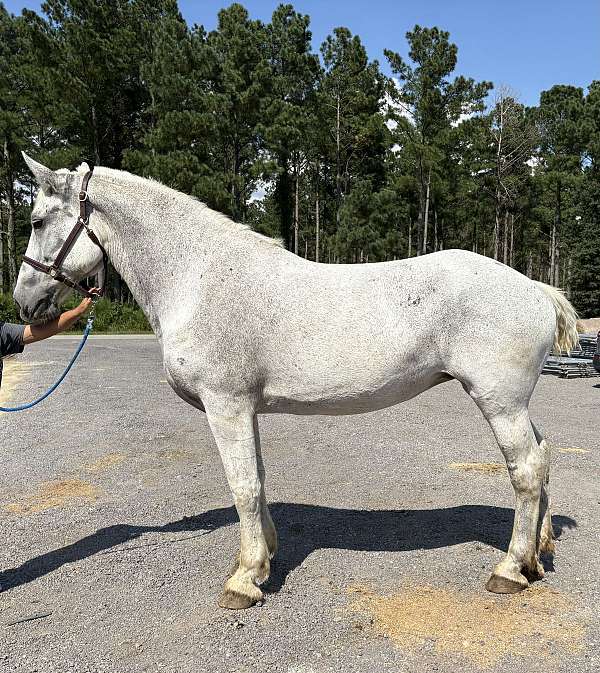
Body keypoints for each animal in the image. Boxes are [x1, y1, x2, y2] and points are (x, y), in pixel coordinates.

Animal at [13, 154, 578, 609]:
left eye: (38, 220)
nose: (24, 304)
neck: (199, 278)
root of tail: (535, 288)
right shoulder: (245, 409)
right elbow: (258, 481)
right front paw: (262, 559)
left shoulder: (226, 406)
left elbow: (243, 485)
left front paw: (243, 581)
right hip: (514, 403)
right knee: (543, 458)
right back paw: (536, 557)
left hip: (499, 402)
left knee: (526, 471)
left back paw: (509, 570)